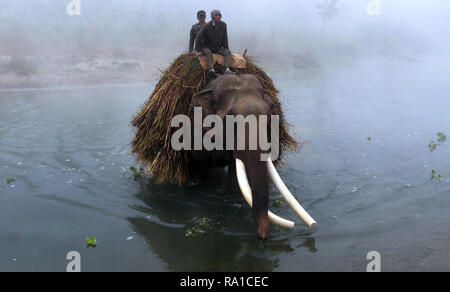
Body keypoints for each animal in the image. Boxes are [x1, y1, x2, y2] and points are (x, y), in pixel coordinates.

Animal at [180, 73, 316, 240]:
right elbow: (197, 170)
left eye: (270, 111)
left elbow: (234, 174)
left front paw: (234, 200)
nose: (261, 237)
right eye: (230, 117)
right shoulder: (195, 133)